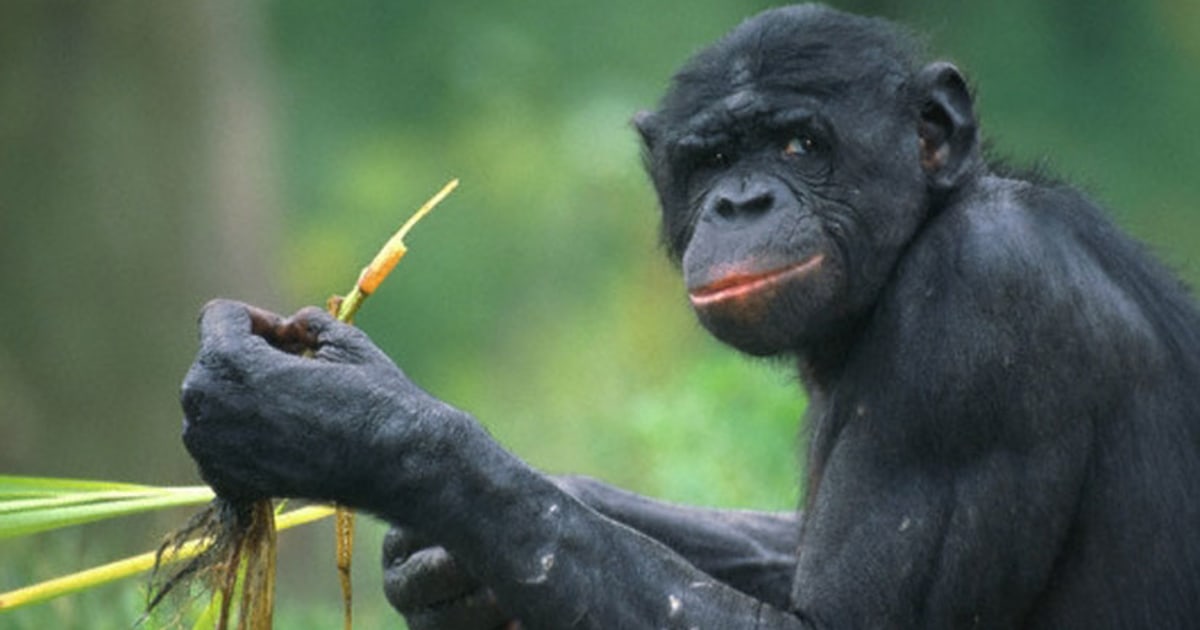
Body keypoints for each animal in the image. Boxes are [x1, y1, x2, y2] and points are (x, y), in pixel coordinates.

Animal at [180, 4, 1200, 628]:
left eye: (800, 144)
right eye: (709, 159)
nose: (741, 202)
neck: (919, 236)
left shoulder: (981, 314)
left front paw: (345, 422)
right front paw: (445, 568)